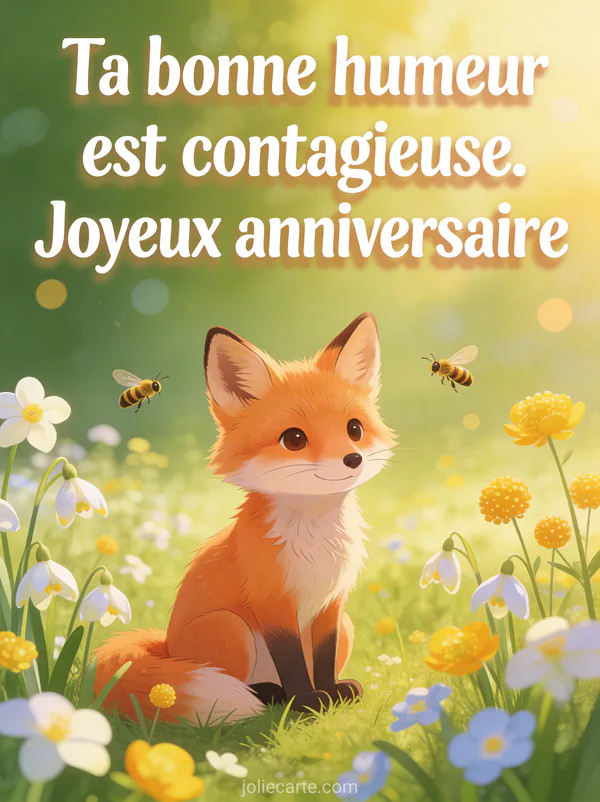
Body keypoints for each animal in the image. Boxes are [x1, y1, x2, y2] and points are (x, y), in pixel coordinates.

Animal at [94, 312, 394, 723]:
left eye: (354, 429)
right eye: (294, 439)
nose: (353, 459)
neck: (314, 543)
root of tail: (167, 648)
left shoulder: (332, 605)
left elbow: (322, 657)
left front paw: (332, 692)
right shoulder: (272, 602)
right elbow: (293, 663)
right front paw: (306, 701)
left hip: (344, 627)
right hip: (230, 628)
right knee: (233, 678)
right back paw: (267, 694)